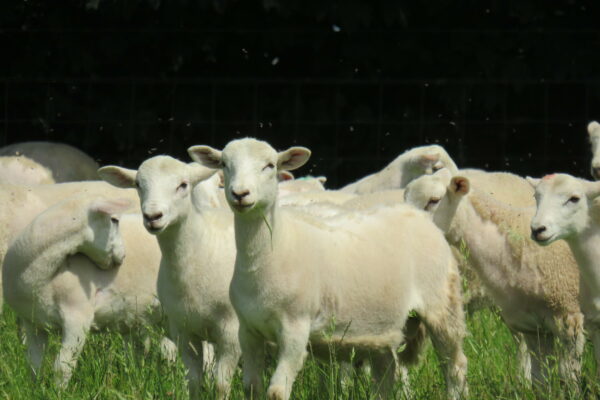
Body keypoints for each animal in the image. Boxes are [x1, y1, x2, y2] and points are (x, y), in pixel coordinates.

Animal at [1, 195, 176, 386]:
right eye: (114, 220)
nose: (123, 256)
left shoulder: (77, 316)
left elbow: (62, 366)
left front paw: (58, 390)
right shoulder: (34, 323)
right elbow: (33, 365)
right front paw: (36, 388)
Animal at [98, 157, 239, 400]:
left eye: (183, 185)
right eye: (138, 184)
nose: (152, 216)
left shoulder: (231, 332)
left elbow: (221, 384)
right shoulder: (183, 329)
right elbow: (193, 380)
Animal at [190, 138, 466, 400]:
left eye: (270, 165)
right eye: (224, 164)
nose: (240, 193)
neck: (271, 252)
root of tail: (419, 217)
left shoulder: (295, 330)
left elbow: (277, 391)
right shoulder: (249, 332)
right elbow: (251, 387)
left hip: (442, 305)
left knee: (455, 366)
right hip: (382, 326)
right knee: (386, 371)